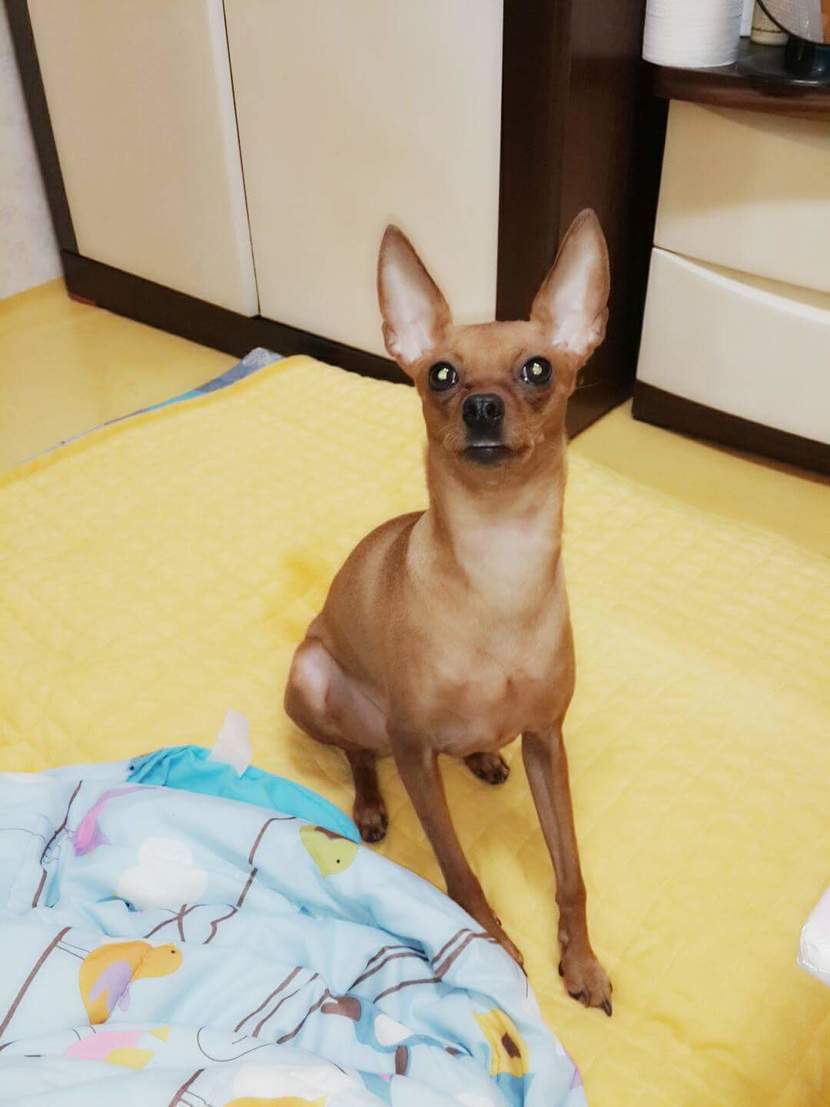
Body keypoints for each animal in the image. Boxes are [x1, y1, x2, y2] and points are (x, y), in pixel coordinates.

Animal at [285, 210, 612, 1014]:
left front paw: (582, 961)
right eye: (441, 374)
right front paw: (495, 950)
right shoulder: (414, 752)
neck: (499, 571)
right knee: (357, 750)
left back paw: (483, 754)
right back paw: (370, 805)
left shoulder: (548, 740)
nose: (481, 405)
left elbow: (571, 871)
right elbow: (459, 873)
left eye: (537, 370)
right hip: (313, 680)